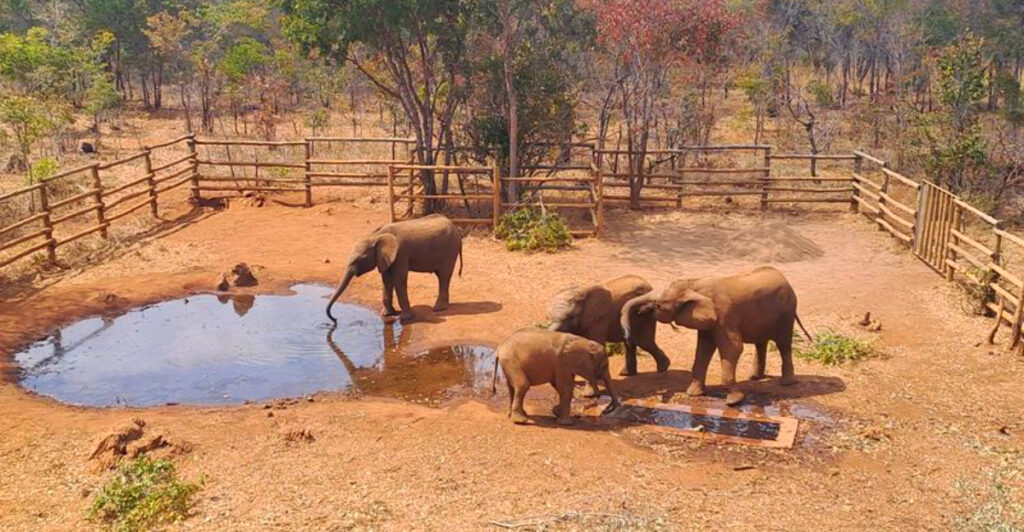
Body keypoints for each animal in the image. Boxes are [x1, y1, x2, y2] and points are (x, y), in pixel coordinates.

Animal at [325, 214, 463, 323]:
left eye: (359, 259)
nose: (335, 319)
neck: (376, 237)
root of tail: (455, 227)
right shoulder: (385, 258)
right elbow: (386, 281)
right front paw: (387, 314)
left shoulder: (400, 253)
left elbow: (398, 280)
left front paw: (405, 319)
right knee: (442, 276)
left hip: (450, 249)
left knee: (443, 276)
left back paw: (438, 309)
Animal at [639, 266, 812, 406]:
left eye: (659, 306)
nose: (642, 311)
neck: (694, 285)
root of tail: (784, 278)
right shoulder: (708, 321)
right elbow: (703, 350)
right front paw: (694, 394)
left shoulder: (724, 316)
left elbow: (733, 348)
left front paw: (734, 402)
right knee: (761, 342)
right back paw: (754, 377)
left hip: (786, 312)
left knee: (783, 344)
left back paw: (787, 383)